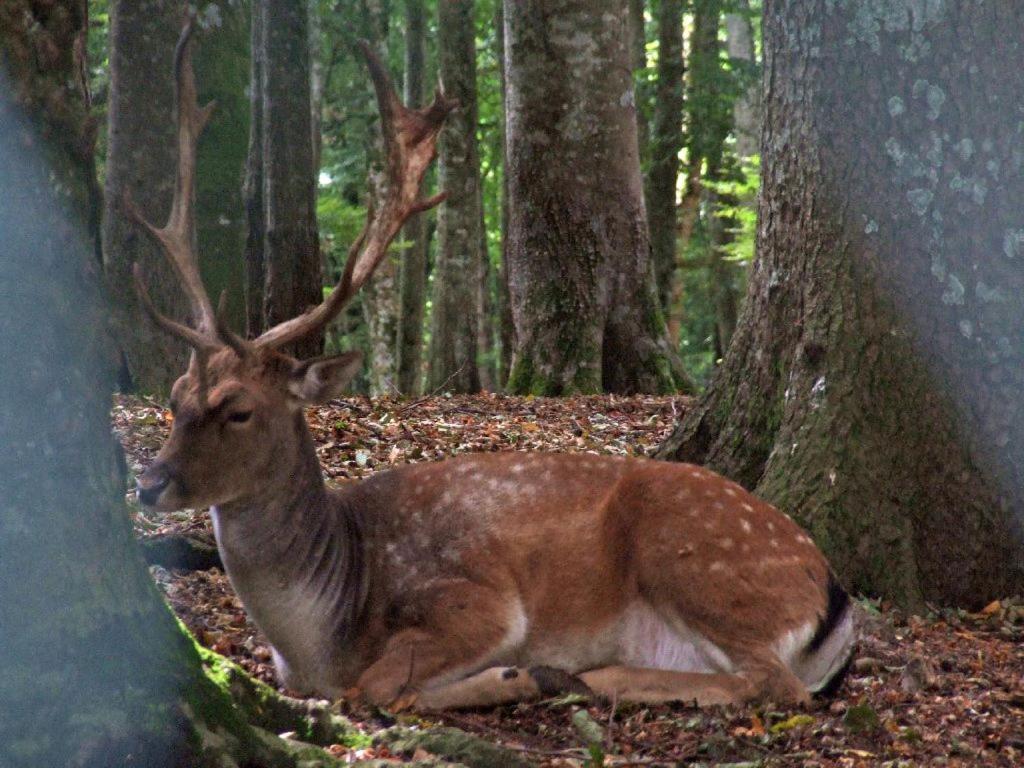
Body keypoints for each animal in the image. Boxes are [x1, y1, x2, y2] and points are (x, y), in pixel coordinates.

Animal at [134, 25, 856, 716]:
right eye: (175, 396)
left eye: (238, 409)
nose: (149, 483)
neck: (322, 633)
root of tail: (835, 592)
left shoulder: (479, 599)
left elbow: (377, 684)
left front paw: (514, 675)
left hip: (694, 552)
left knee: (775, 684)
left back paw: (590, 676)